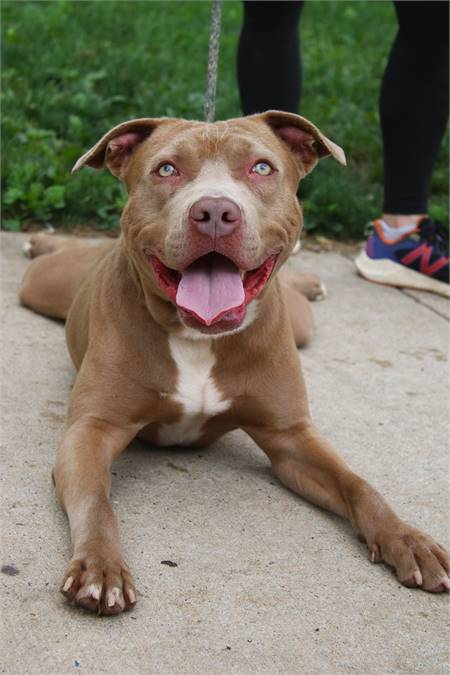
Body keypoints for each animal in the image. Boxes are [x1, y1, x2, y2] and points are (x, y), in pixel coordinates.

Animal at [19, 113, 448, 616]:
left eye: (261, 168)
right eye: (166, 169)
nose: (215, 212)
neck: (199, 337)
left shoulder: (291, 438)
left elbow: (358, 483)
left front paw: (407, 538)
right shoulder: (92, 430)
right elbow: (95, 499)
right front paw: (100, 566)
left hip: (300, 324)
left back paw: (308, 281)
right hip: (43, 285)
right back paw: (40, 239)